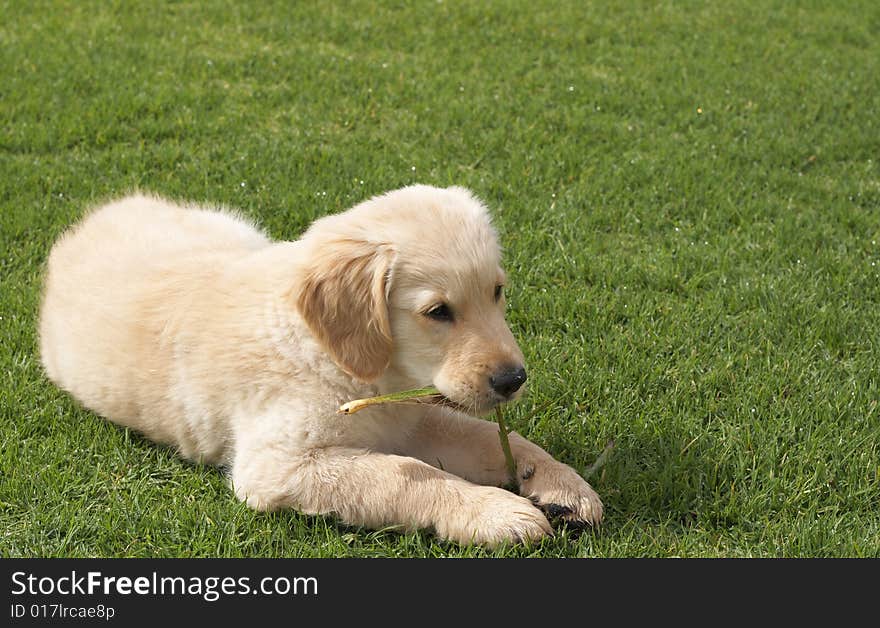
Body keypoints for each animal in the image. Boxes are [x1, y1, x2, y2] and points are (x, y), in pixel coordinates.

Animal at [43, 185, 604, 544]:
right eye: (438, 312)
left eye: (497, 292)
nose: (513, 380)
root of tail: (98, 215)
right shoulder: (276, 465)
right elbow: (406, 475)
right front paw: (495, 512)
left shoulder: (414, 415)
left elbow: (493, 438)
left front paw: (562, 485)